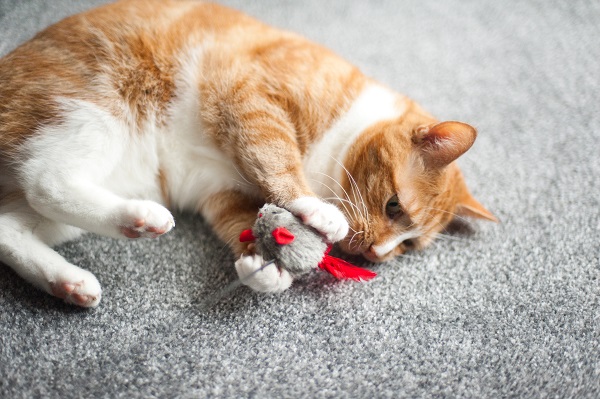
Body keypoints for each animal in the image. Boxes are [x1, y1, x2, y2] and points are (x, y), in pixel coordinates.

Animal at [0, 0, 496, 310]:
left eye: (407, 246)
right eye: (394, 206)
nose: (376, 253)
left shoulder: (221, 192)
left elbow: (243, 223)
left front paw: (264, 269)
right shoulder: (251, 98)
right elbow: (277, 160)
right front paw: (316, 211)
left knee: (10, 230)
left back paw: (71, 282)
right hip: (96, 110)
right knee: (45, 181)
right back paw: (140, 219)